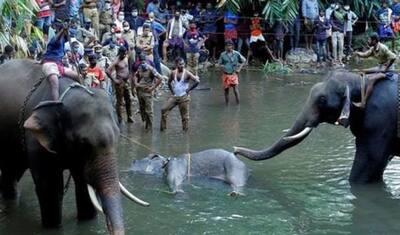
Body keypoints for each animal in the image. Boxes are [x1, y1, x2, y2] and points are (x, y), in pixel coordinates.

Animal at [0, 59, 148, 234]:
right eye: (83, 142)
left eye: (118, 136)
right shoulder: (35, 139)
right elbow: (50, 187)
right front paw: (53, 227)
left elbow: (83, 184)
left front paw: (87, 221)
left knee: (13, 170)